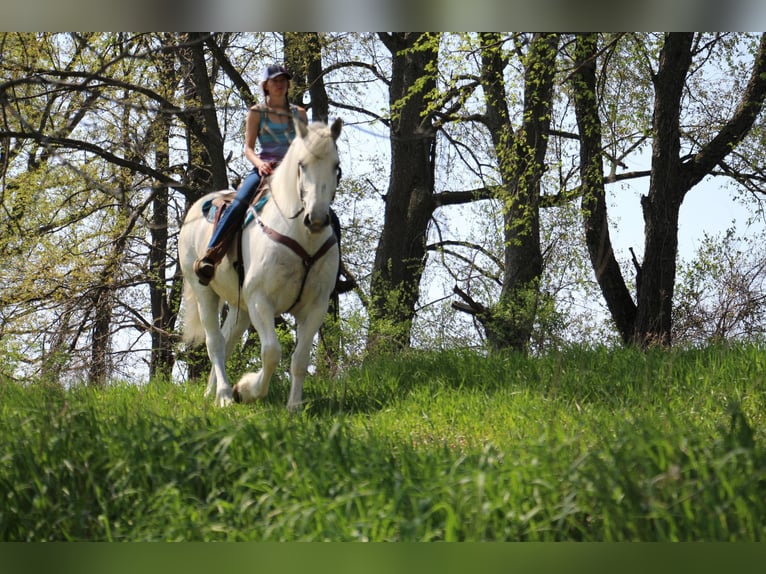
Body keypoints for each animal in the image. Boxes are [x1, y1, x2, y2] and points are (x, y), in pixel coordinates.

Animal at [178, 117, 344, 412]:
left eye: (336, 166)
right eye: (301, 164)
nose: (316, 219)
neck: (300, 236)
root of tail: (197, 206)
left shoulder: (316, 306)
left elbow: (300, 358)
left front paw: (294, 406)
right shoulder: (260, 300)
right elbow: (271, 352)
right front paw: (246, 390)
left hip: (240, 306)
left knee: (228, 341)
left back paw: (211, 392)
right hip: (204, 290)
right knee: (215, 342)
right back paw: (224, 395)